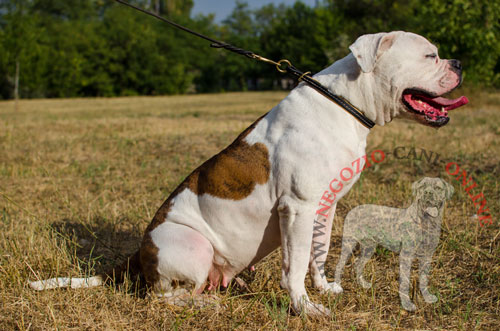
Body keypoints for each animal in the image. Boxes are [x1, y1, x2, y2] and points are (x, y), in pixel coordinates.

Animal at [330, 178, 456, 312]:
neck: (426, 222)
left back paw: (363, 284)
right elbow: (405, 282)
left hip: (369, 247)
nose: (427, 193)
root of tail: (353, 209)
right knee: (339, 265)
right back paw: (337, 287)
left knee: (358, 263)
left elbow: (424, 279)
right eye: (422, 186)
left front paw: (427, 297)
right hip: (348, 243)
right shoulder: (406, 255)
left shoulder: (427, 256)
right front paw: (407, 304)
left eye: (438, 188)